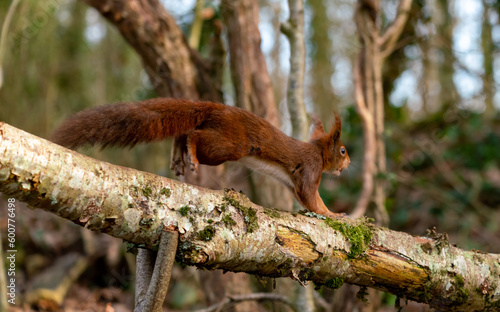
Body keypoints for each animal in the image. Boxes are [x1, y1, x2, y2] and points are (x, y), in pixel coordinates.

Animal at [49, 97, 348, 217]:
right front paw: (334, 214)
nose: (347, 164)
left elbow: (306, 198)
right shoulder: (310, 168)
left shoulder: (292, 180)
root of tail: (216, 108)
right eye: (343, 150)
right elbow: (311, 197)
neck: (319, 151)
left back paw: (177, 156)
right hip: (229, 146)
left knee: (184, 133)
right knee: (193, 133)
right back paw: (189, 155)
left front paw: (333, 212)